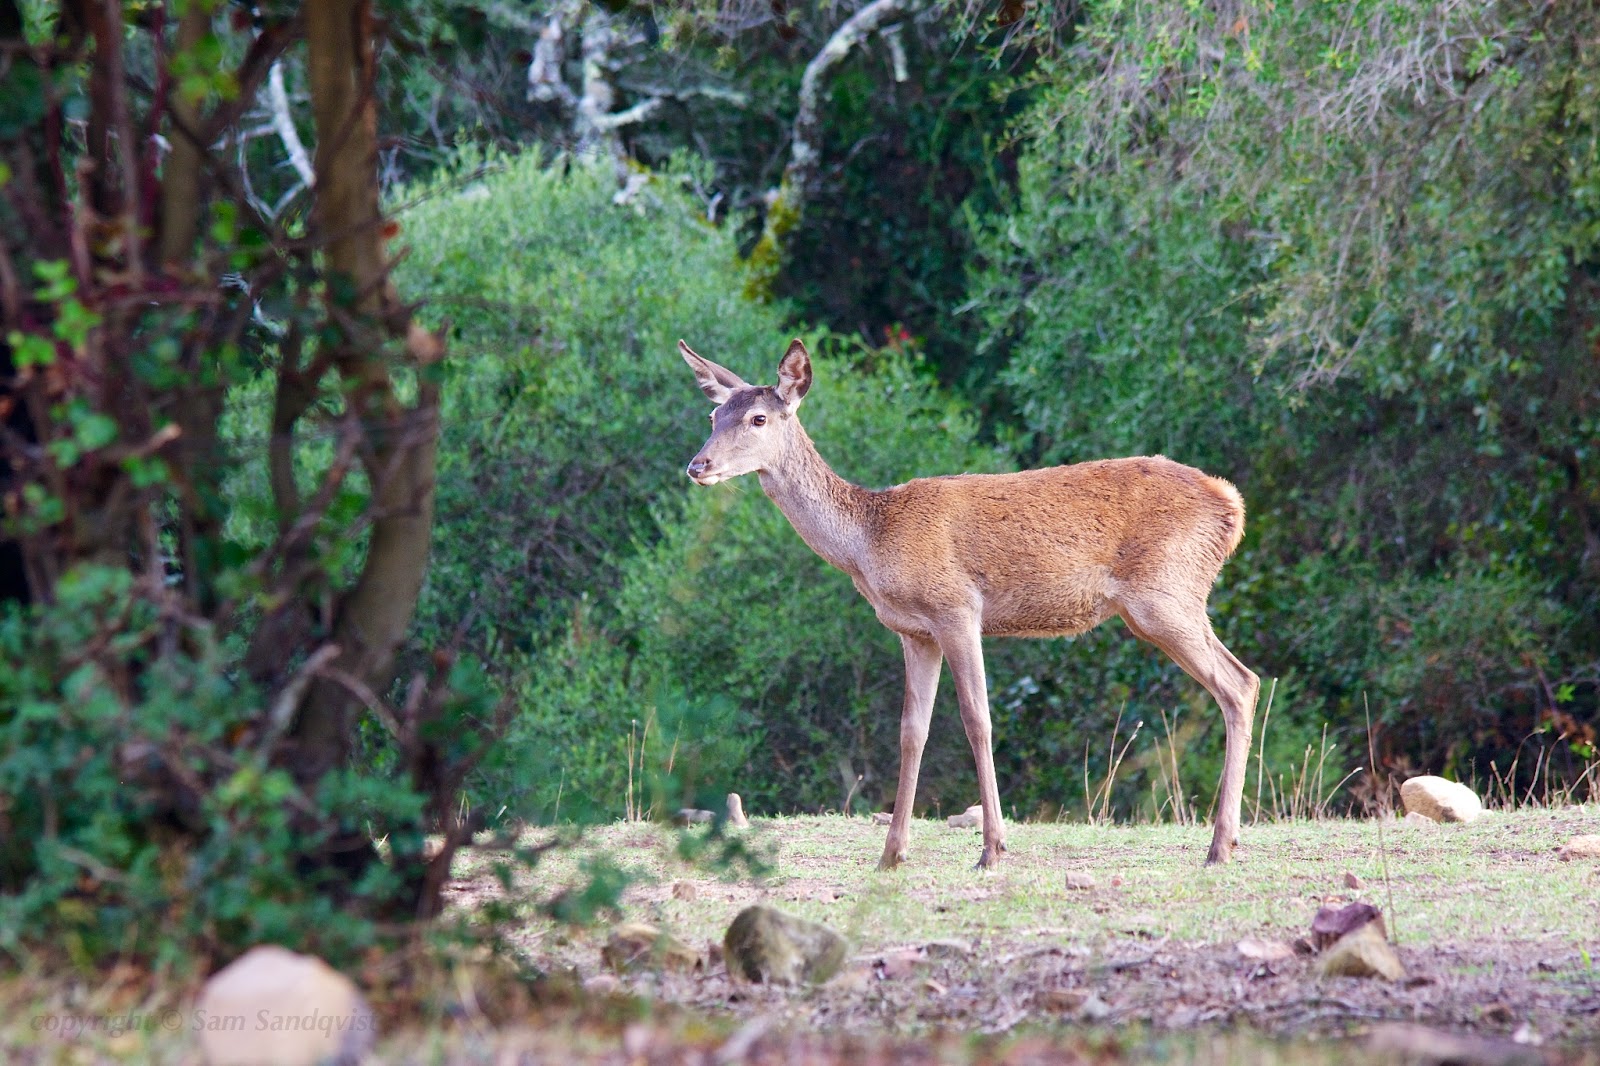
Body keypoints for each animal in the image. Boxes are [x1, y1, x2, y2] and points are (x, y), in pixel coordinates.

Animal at [679, 337, 1260, 870]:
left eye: (757, 418)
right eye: (713, 414)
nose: (697, 464)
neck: (868, 544)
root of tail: (1233, 505)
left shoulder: (957, 608)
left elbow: (977, 720)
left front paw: (992, 849)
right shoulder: (913, 631)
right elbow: (912, 732)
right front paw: (891, 854)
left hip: (1165, 594)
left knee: (1240, 682)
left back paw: (1218, 847)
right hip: (1174, 598)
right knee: (1243, 680)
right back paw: (1226, 840)